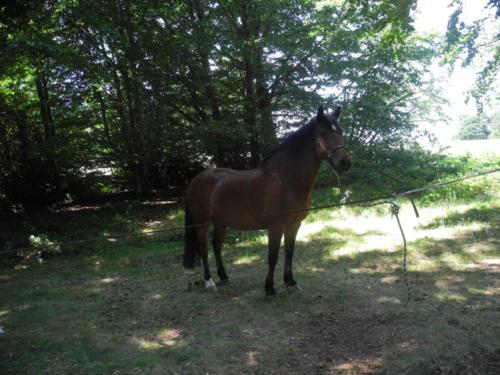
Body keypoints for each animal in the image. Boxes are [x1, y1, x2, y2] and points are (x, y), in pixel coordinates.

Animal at [184, 104, 352, 296]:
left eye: (341, 131)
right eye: (323, 132)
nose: (345, 163)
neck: (287, 179)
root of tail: (196, 180)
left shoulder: (294, 225)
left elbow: (289, 254)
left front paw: (290, 282)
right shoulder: (276, 227)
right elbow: (273, 257)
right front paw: (270, 288)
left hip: (221, 222)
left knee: (216, 246)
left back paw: (224, 276)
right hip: (202, 223)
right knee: (204, 249)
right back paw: (209, 281)